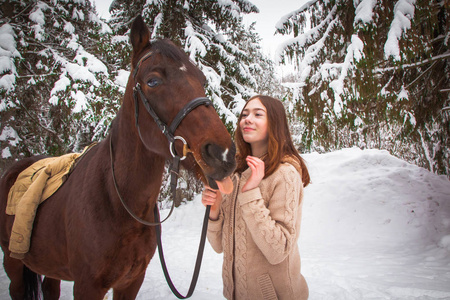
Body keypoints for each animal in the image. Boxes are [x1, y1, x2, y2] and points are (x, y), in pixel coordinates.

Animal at [0, 16, 237, 300]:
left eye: (201, 79)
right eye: (153, 81)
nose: (223, 154)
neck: (119, 201)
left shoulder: (130, 282)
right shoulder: (87, 286)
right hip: (13, 263)